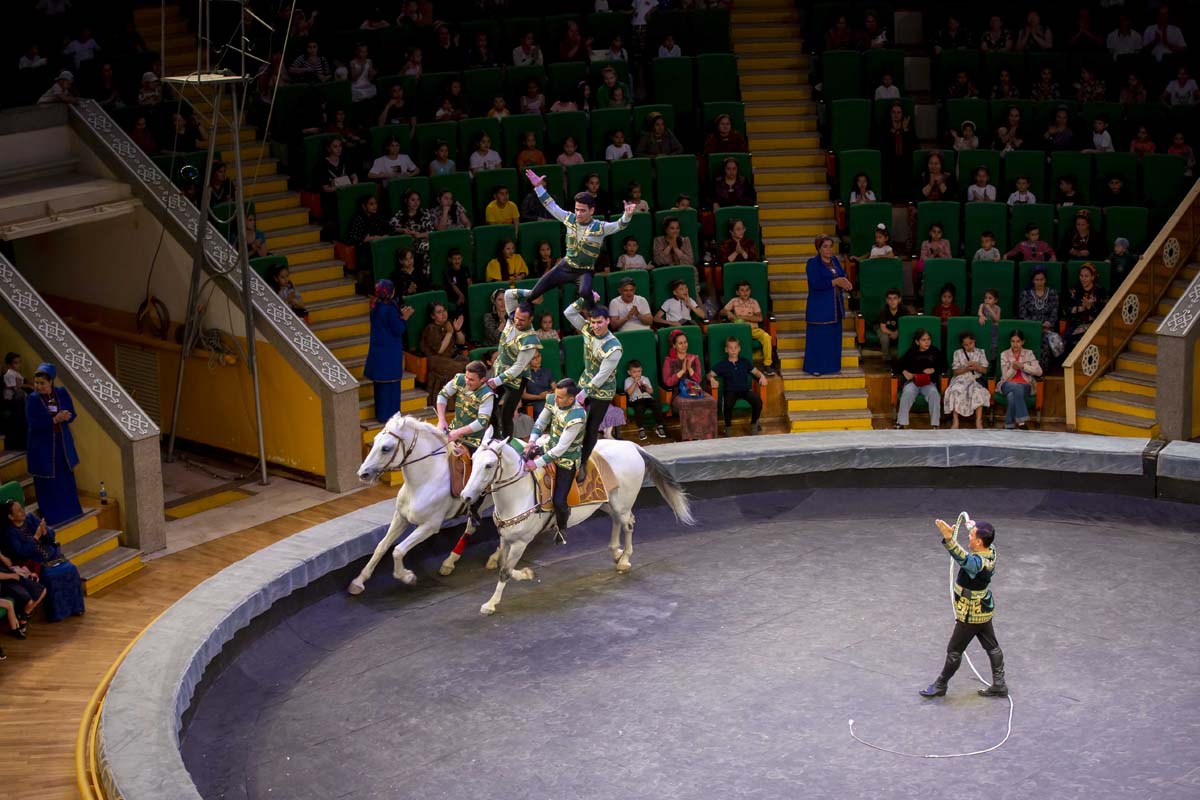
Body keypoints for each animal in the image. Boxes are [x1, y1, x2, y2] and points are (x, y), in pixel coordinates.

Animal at [350, 412, 492, 594]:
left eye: (386, 448)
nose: (363, 474)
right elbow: (382, 546)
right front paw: (359, 581)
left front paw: (407, 576)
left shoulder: (429, 526)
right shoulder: (400, 518)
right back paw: (449, 563)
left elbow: (398, 550)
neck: (425, 479)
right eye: (374, 441)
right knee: (472, 528)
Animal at [458, 429, 696, 618]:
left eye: (489, 465)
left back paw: (625, 559)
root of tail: (632, 446)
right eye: (474, 459)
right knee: (617, 521)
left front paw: (492, 602)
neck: (519, 493)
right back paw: (616, 552)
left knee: (628, 523)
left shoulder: (520, 542)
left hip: (623, 503)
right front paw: (524, 575)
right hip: (607, 502)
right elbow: (501, 565)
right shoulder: (505, 538)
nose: (466, 496)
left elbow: (506, 571)